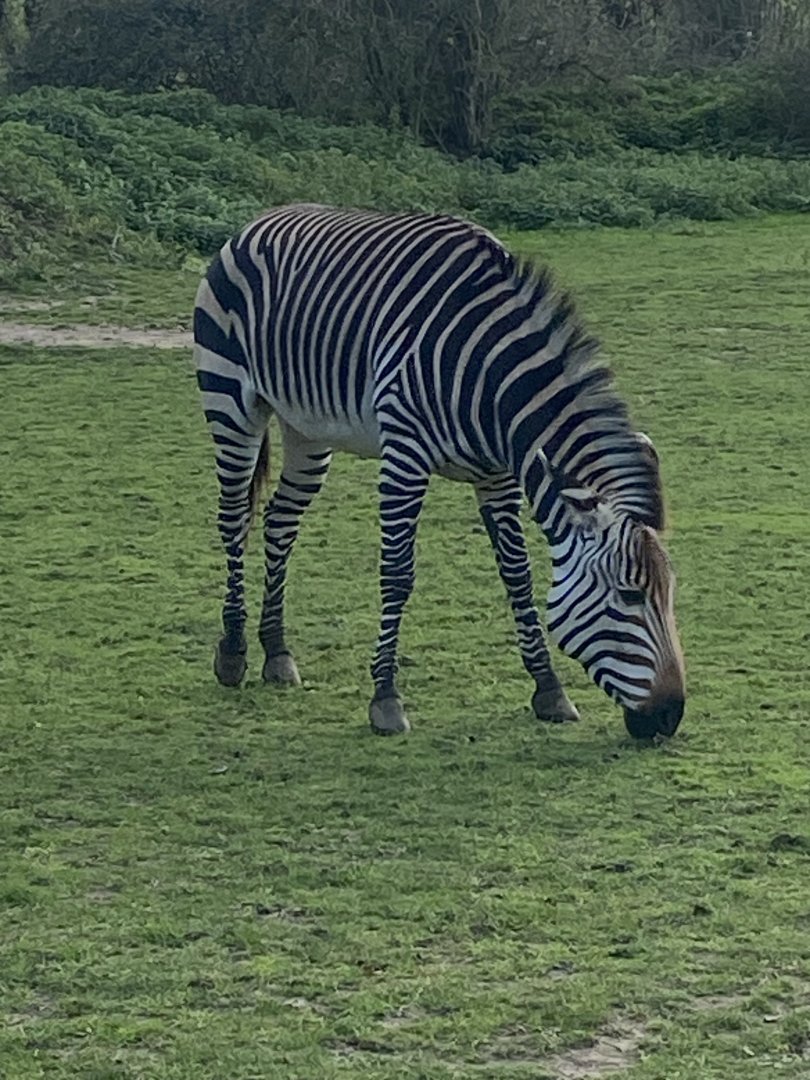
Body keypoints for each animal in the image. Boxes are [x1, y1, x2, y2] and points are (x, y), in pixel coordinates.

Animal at [194, 203, 685, 740]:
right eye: (629, 595)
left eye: (670, 593)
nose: (670, 716)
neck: (491, 384)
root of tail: (263, 218)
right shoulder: (405, 457)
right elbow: (397, 573)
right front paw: (386, 698)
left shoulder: (497, 476)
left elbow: (516, 574)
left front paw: (548, 689)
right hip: (231, 402)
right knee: (233, 520)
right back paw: (234, 651)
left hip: (308, 428)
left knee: (280, 522)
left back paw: (277, 652)